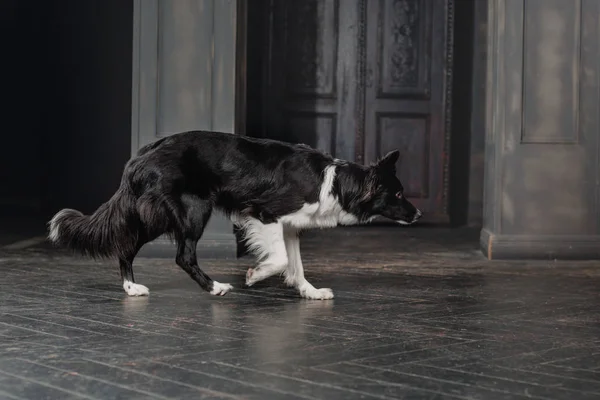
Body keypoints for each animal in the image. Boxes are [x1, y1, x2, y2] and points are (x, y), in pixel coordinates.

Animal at [47, 131, 422, 300]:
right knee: (182, 256)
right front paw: (255, 276)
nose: (419, 214)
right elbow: (281, 260)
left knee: (127, 246)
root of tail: (141, 155)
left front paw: (311, 292)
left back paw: (130, 287)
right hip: (189, 211)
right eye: (398, 194)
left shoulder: (290, 227)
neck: (334, 182)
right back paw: (215, 287)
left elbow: (295, 264)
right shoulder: (264, 214)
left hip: (157, 215)